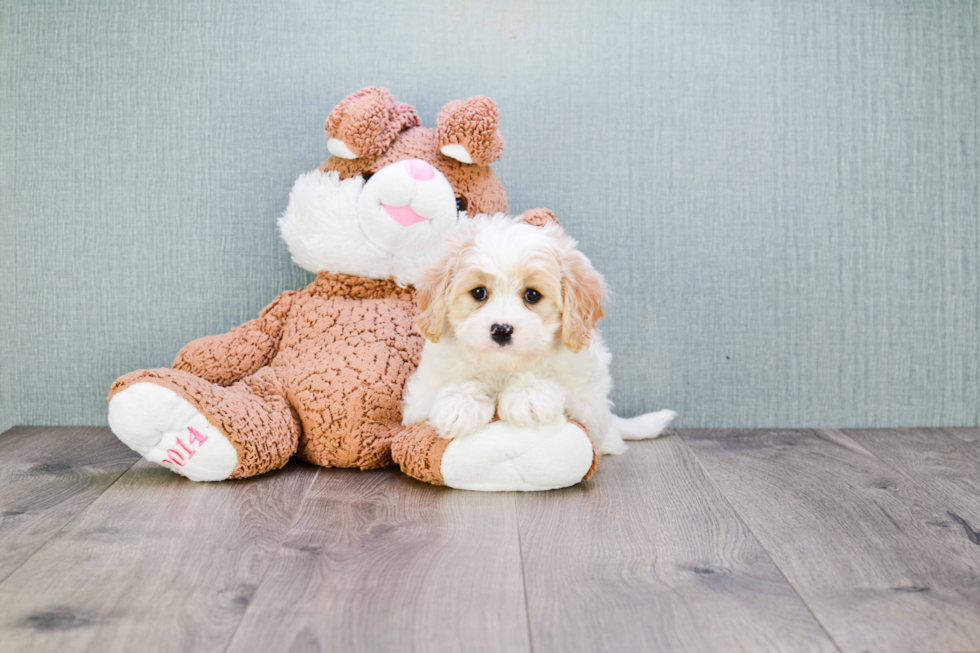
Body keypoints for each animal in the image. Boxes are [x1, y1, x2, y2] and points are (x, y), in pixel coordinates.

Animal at [402, 213, 676, 454]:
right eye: (479, 293)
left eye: (532, 295)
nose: (501, 330)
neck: (502, 368)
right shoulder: (419, 400)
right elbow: (459, 383)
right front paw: (460, 404)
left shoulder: (587, 401)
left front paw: (528, 394)